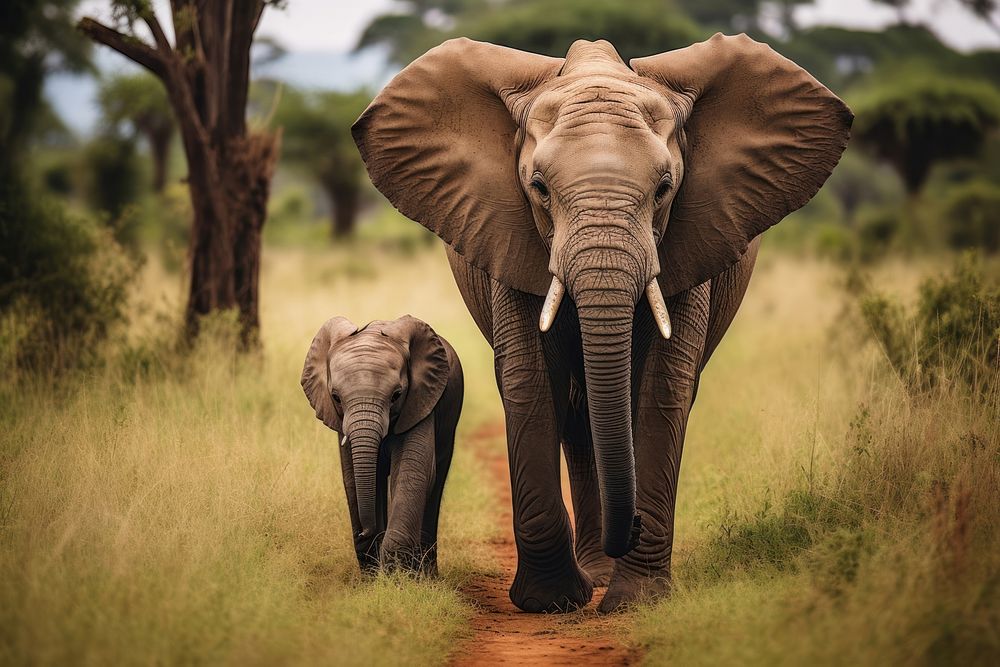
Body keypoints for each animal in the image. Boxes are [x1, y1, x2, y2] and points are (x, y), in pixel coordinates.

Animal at [301, 315, 464, 576]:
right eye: (336, 397)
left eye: (396, 395)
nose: (363, 531)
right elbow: (353, 478)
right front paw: (375, 575)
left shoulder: (421, 402)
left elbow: (413, 472)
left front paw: (397, 574)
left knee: (437, 479)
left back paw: (427, 575)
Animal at [352, 34, 851, 612]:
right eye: (539, 188)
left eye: (664, 188)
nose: (629, 527)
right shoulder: (507, 233)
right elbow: (528, 381)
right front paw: (551, 601)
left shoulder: (693, 237)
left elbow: (665, 387)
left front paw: (637, 600)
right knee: (578, 412)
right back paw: (593, 572)